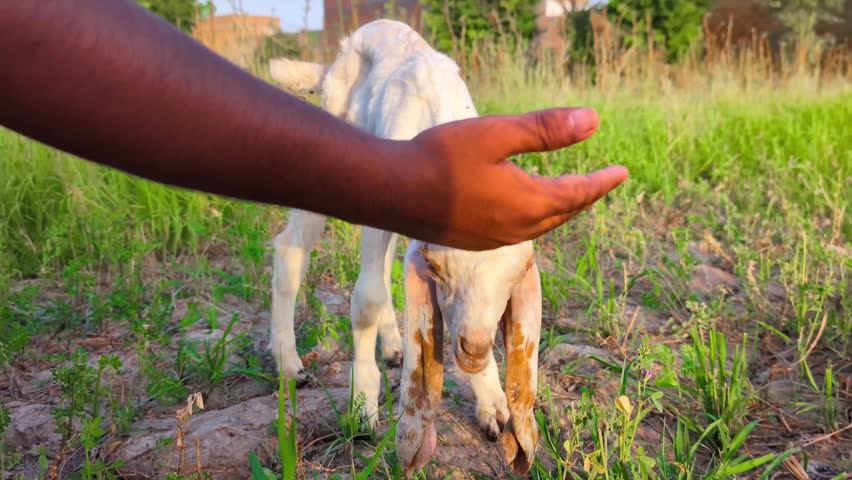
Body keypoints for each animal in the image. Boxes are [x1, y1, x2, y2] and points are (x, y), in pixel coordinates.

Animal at [268, 19, 542, 476]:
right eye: (442, 274)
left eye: (513, 281)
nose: (474, 348)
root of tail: (335, 59)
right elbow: (365, 298)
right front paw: (363, 406)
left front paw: (492, 401)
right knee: (291, 250)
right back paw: (289, 363)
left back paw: (394, 347)